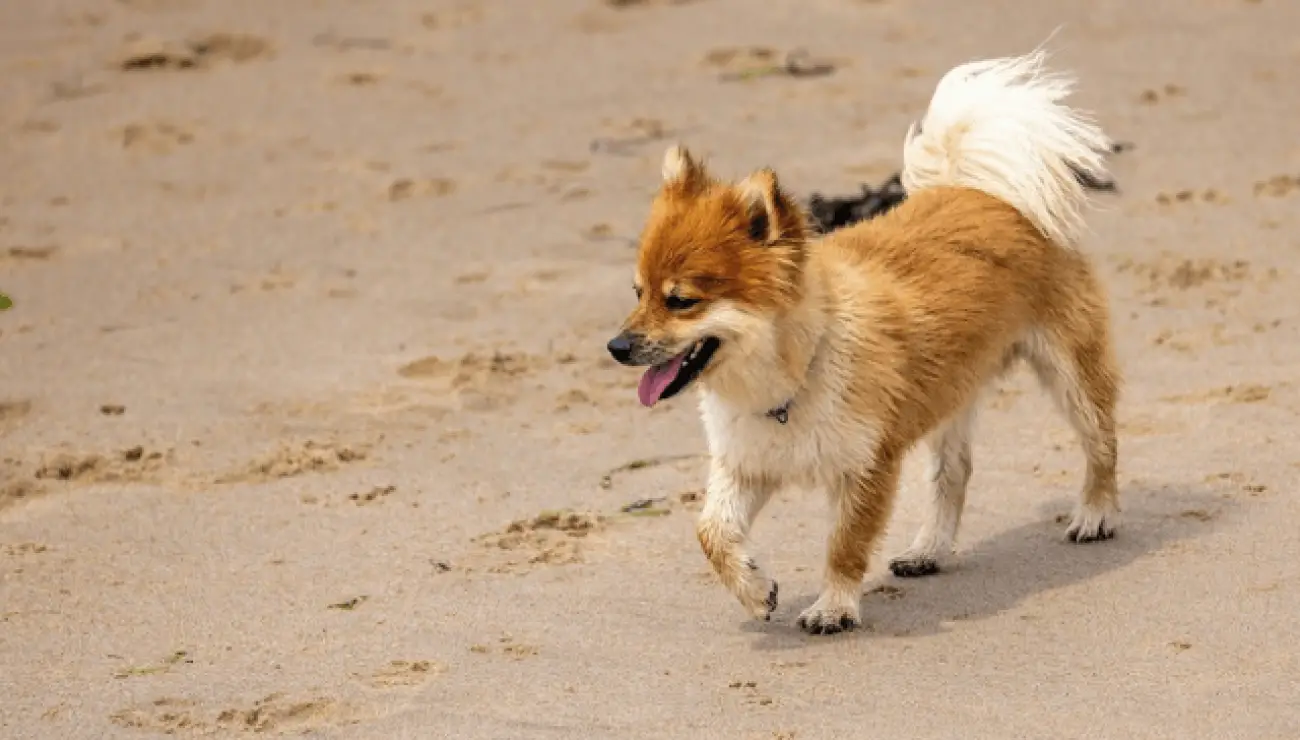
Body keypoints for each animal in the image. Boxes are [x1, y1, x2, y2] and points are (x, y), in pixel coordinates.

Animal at [603, 47, 1123, 634]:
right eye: (638, 292)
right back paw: (929, 550)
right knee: (953, 474)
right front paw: (756, 591)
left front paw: (832, 607)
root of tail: (987, 193)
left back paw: (1096, 513)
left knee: (1100, 440)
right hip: (950, 394)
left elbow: (844, 546)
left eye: (681, 301)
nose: (617, 347)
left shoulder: (866, 465)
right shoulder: (747, 464)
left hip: (1068, 371)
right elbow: (711, 532)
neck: (793, 372)